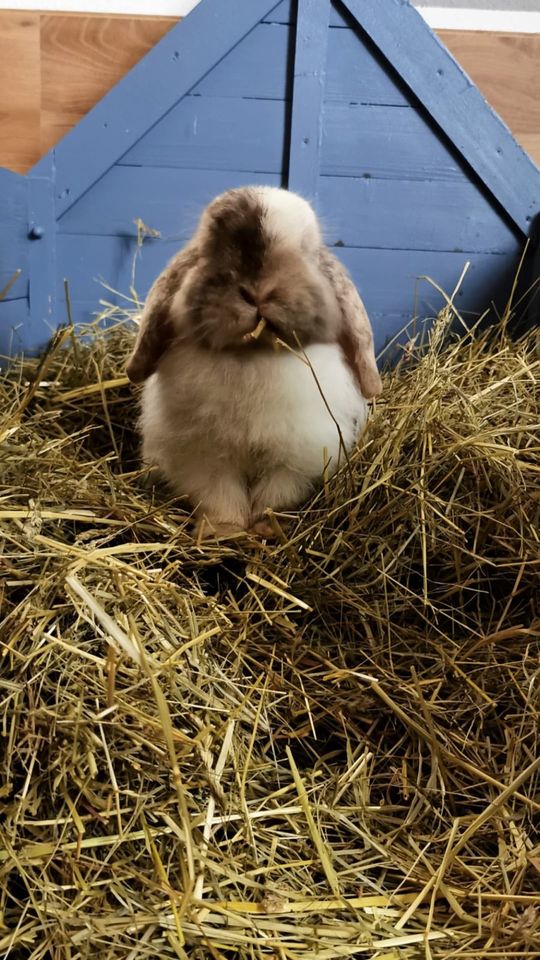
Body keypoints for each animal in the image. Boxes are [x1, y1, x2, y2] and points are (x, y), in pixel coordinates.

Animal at [126, 184, 382, 536]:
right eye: (212, 246)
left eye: (307, 250)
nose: (259, 292)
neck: (252, 355)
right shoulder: (205, 459)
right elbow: (220, 496)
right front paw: (222, 532)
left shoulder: (294, 459)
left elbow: (275, 496)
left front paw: (266, 530)